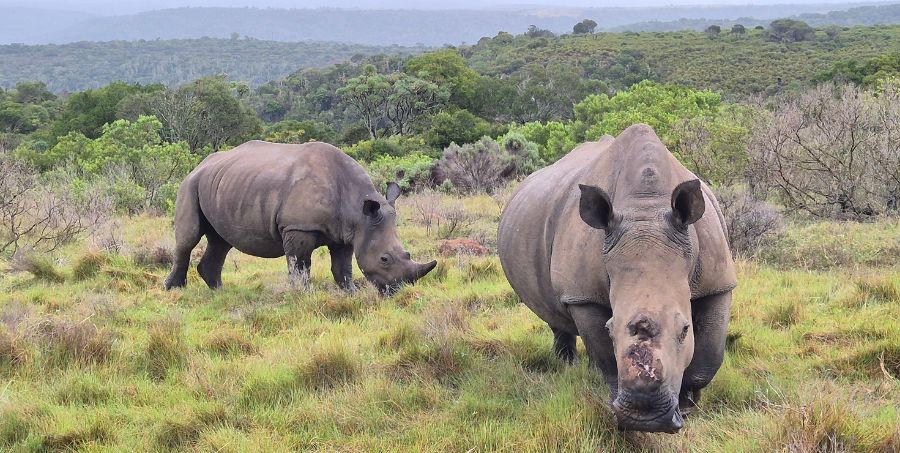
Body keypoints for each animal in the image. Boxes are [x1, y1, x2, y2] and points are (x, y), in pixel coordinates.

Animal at [164, 140, 437, 292]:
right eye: (384, 259)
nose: (398, 291)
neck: (356, 208)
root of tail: (199, 165)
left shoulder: (347, 233)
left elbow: (343, 268)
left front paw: (351, 293)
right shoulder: (298, 227)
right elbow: (299, 265)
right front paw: (303, 295)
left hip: (221, 185)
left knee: (221, 241)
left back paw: (220, 292)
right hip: (189, 184)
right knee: (188, 239)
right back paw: (174, 290)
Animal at [498, 124, 736, 433]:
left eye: (684, 329)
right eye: (610, 329)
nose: (647, 418)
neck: (646, 209)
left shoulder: (717, 282)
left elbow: (709, 354)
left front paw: (688, 405)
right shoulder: (582, 295)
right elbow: (607, 359)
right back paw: (566, 366)